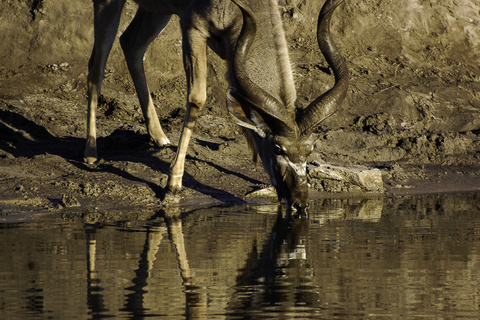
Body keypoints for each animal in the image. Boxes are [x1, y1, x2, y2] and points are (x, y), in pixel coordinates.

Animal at [84, 0, 348, 214]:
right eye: (277, 148)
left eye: (310, 150)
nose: (300, 203)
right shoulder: (192, 27)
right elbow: (197, 97)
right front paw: (173, 184)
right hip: (110, 5)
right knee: (97, 64)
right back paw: (91, 153)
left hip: (156, 12)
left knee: (131, 44)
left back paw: (159, 138)